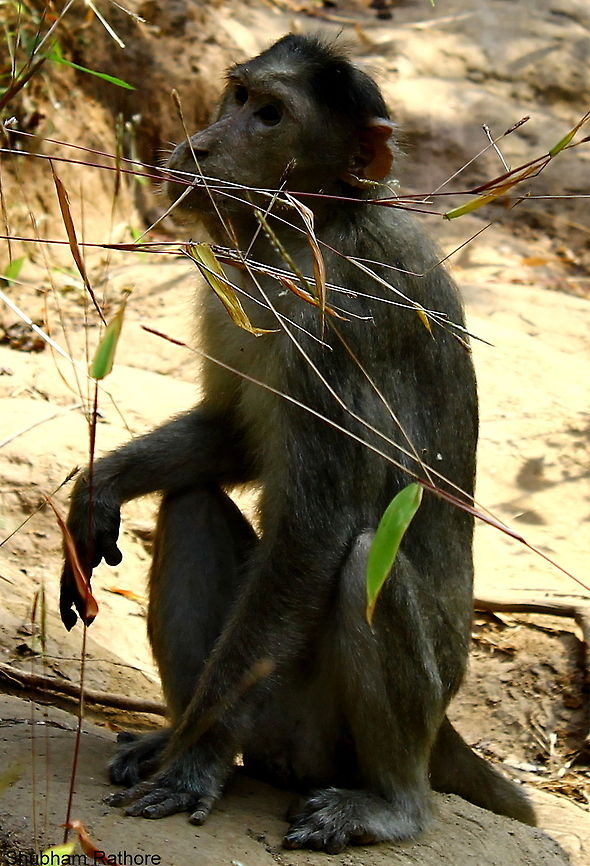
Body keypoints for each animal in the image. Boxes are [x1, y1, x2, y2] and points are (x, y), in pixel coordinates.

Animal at [59, 35, 535, 853]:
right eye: (239, 95)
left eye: (272, 116)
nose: (199, 145)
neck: (312, 224)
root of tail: (445, 730)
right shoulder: (234, 285)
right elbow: (233, 436)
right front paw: (99, 489)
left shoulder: (330, 329)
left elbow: (316, 535)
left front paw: (196, 767)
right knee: (190, 504)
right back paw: (178, 736)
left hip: (331, 730)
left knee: (366, 562)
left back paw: (387, 802)